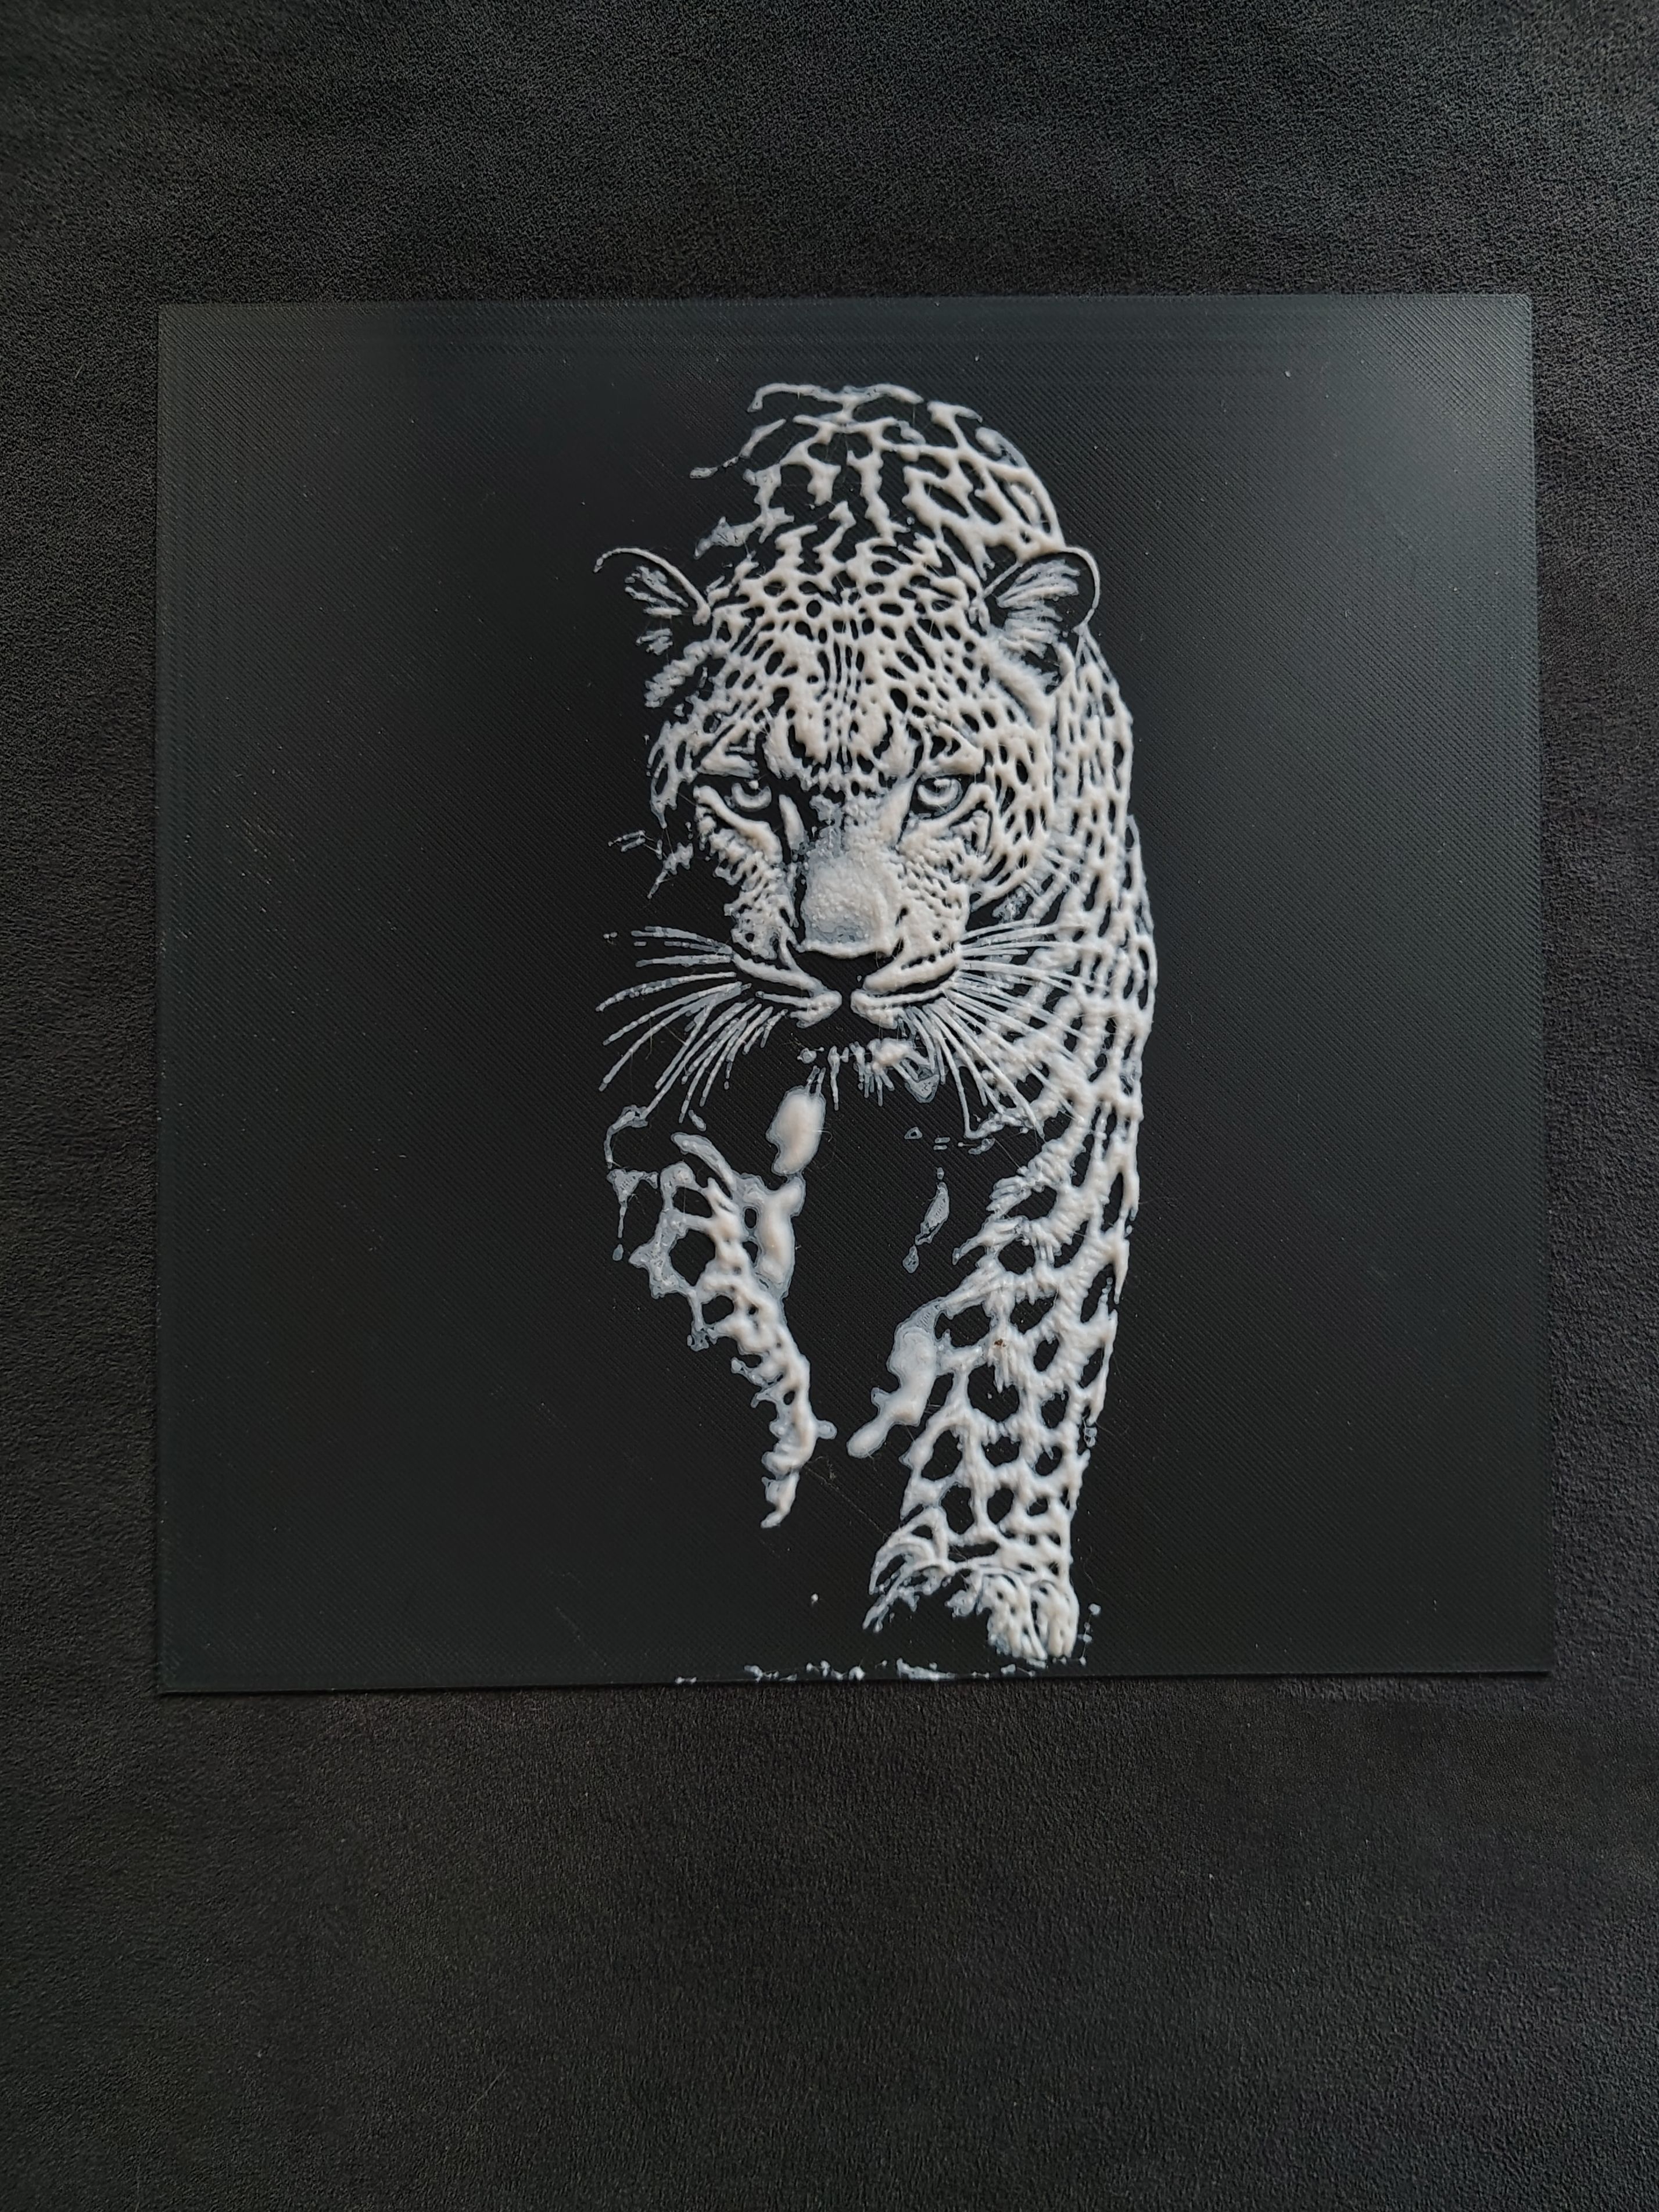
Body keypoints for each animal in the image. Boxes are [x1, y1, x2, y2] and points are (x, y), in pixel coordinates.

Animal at [598, 383, 1155, 1667]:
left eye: (938, 792)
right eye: (749, 792)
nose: (844, 964)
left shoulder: (1069, 1109)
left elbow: (1024, 1338)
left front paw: (978, 1571)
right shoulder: (627, 1055)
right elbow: (673, 1243)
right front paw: (752, 1411)